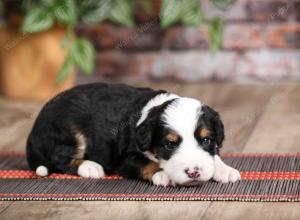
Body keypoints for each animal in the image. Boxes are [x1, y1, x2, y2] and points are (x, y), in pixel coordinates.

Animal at [26, 83, 241, 186]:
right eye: (169, 145)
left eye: (206, 140)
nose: (194, 172)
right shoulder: (124, 157)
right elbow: (147, 163)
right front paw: (163, 174)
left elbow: (213, 156)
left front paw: (225, 170)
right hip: (70, 130)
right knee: (60, 157)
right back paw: (90, 167)